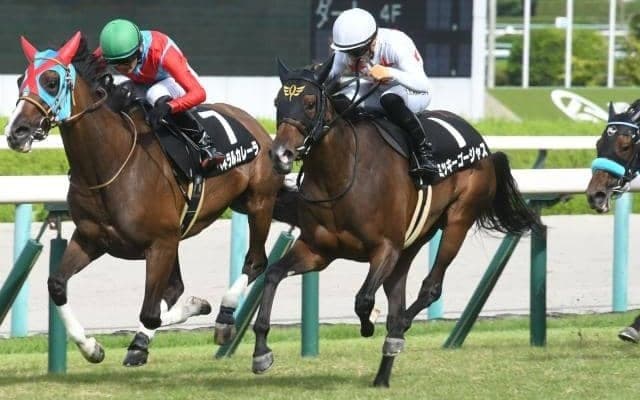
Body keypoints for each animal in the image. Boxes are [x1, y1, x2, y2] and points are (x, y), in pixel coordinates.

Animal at [4, 32, 296, 366]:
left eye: (51, 81)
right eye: (20, 80)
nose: (16, 132)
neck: (111, 163)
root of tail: (254, 123)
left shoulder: (161, 243)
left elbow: (150, 312)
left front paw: (191, 312)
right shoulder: (93, 239)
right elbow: (57, 285)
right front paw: (91, 347)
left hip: (259, 203)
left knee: (255, 262)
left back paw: (224, 317)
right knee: (175, 288)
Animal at [247, 57, 543, 387]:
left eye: (310, 103)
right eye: (278, 102)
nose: (280, 154)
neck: (342, 174)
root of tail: (483, 145)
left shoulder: (385, 248)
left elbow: (363, 299)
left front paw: (368, 326)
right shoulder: (317, 250)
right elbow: (273, 275)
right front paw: (261, 353)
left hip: (457, 220)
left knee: (429, 288)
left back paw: (397, 332)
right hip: (413, 240)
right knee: (397, 294)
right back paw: (383, 372)